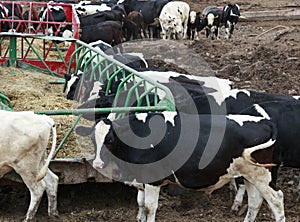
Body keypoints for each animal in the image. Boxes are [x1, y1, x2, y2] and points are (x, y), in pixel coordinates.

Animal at [91, 112, 286, 222]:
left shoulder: (153, 179)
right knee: (254, 203)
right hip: (250, 175)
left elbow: (149, 207)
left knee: (276, 200)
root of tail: (265, 122)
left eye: (110, 139)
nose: (97, 163)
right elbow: (140, 204)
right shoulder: (142, 179)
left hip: (263, 175)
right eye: (93, 139)